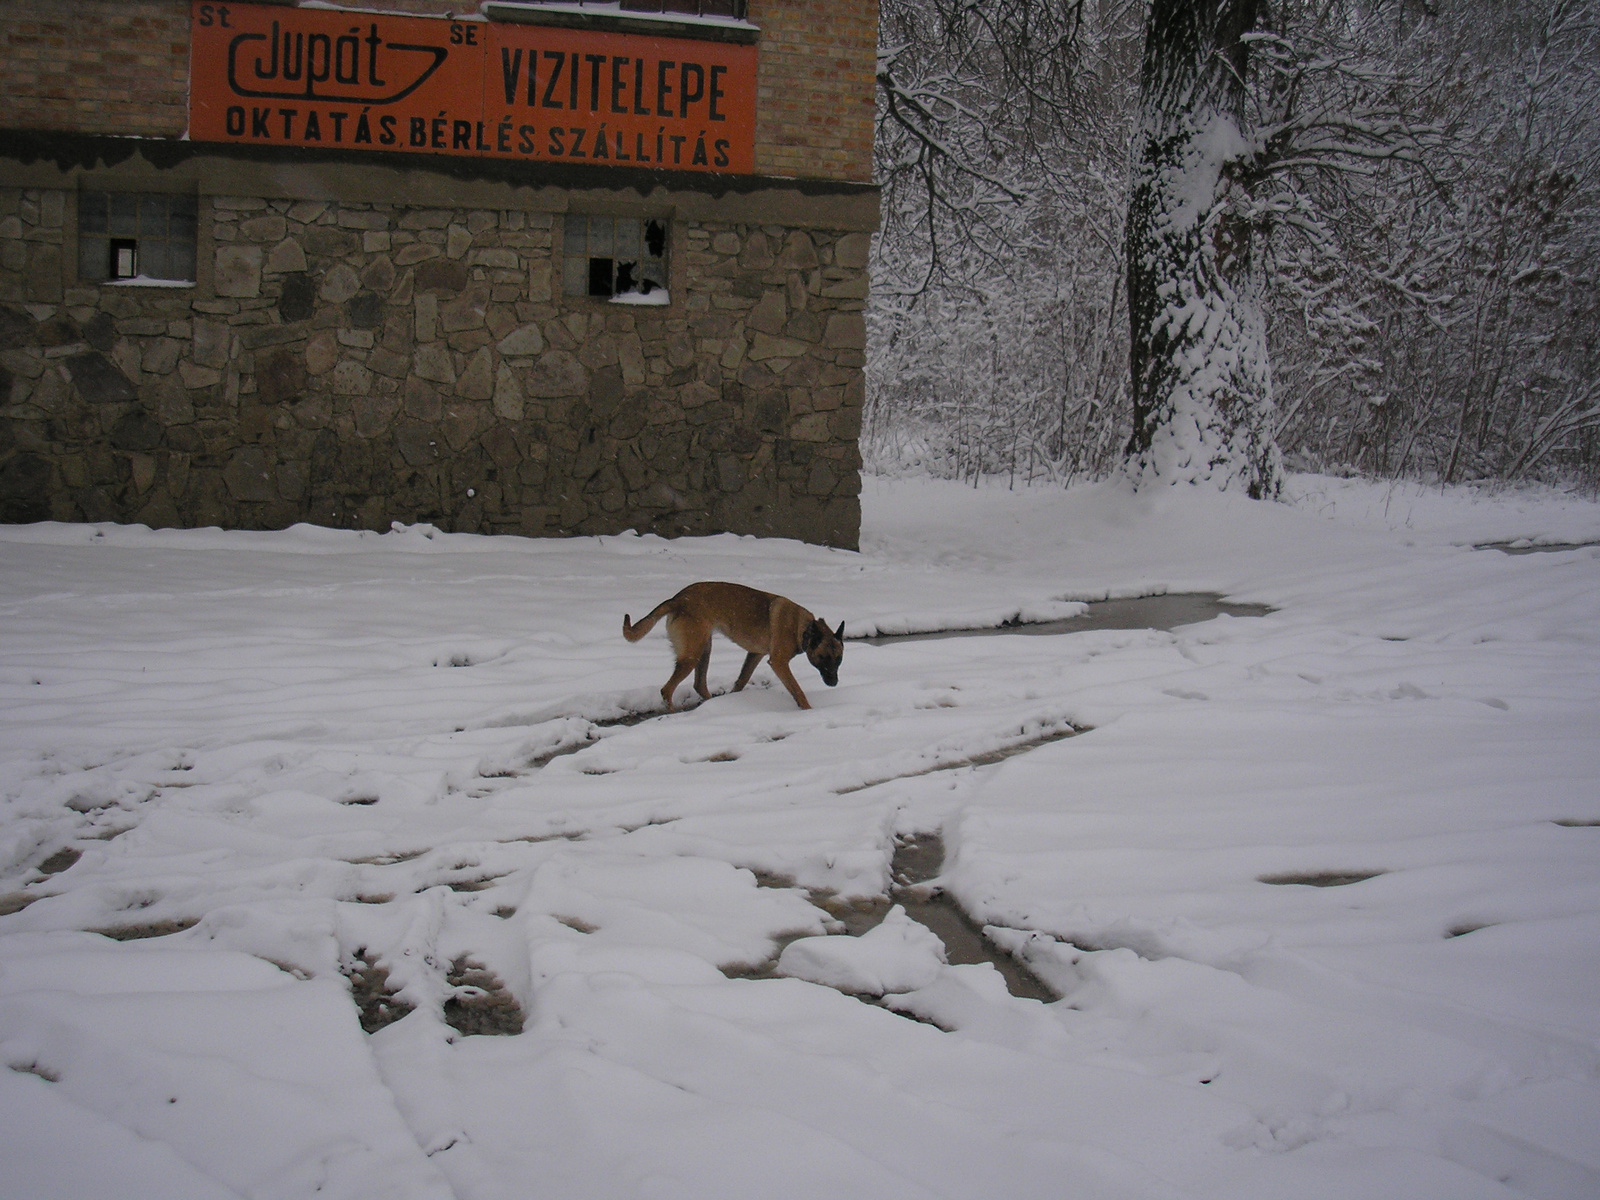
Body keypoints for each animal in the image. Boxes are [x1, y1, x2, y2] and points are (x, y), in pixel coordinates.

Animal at [624, 585, 851, 713]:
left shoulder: (755, 654)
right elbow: (797, 690)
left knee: (699, 684)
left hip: (704, 648)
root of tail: (677, 598)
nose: (834, 682)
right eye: (823, 657)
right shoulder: (778, 662)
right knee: (667, 689)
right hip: (692, 654)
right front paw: (809, 712)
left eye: (838, 659)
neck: (802, 627)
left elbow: (741, 681)